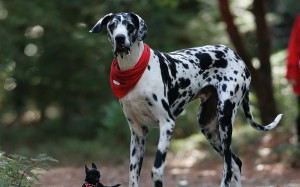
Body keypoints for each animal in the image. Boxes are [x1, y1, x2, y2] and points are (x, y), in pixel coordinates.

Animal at [90, 12, 282, 186]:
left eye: (129, 26)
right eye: (112, 25)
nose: (120, 39)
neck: (134, 69)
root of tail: (238, 57)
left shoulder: (167, 124)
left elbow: (157, 171)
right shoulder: (138, 132)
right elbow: (132, 177)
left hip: (225, 121)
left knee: (228, 167)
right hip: (208, 126)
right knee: (235, 163)